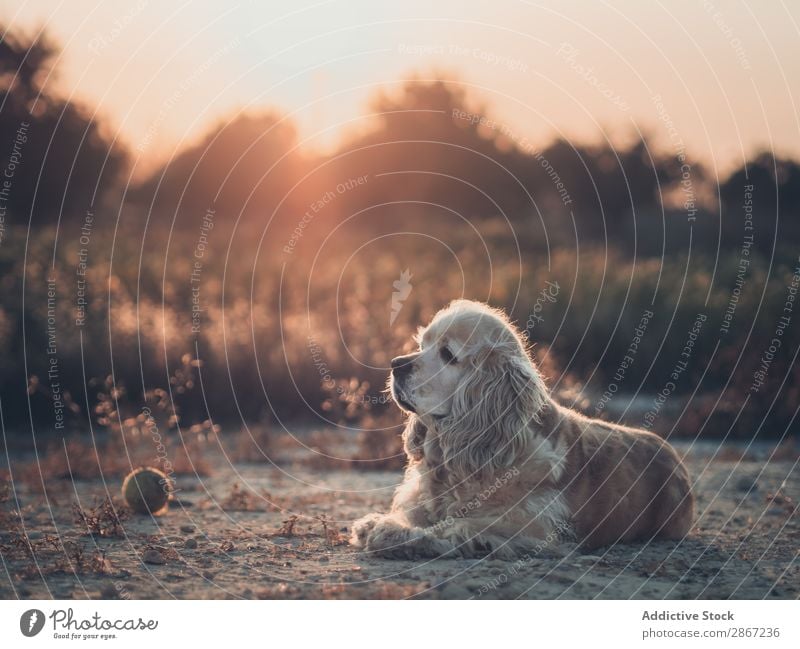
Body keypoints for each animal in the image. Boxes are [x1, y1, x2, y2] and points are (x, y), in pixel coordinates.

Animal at [350, 298, 692, 556]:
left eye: (448, 354)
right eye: (422, 344)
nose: (396, 364)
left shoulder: (535, 523)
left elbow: (461, 525)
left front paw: (394, 532)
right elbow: (420, 510)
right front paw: (381, 522)